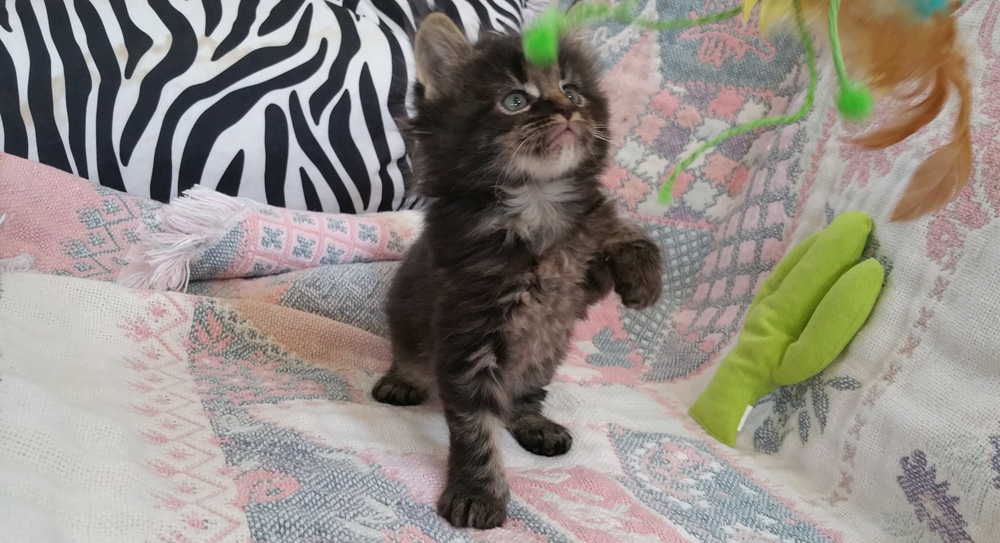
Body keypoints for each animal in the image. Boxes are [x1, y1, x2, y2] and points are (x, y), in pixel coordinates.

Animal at [372, 13, 660, 532]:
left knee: (524, 394)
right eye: (515, 101)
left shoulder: (581, 283)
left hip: (546, 348)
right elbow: (475, 427)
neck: (536, 203)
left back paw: (535, 423)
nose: (566, 110)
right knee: (410, 356)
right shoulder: (469, 330)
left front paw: (644, 280)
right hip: (406, 318)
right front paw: (477, 491)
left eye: (572, 90)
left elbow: (620, 229)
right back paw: (402, 380)